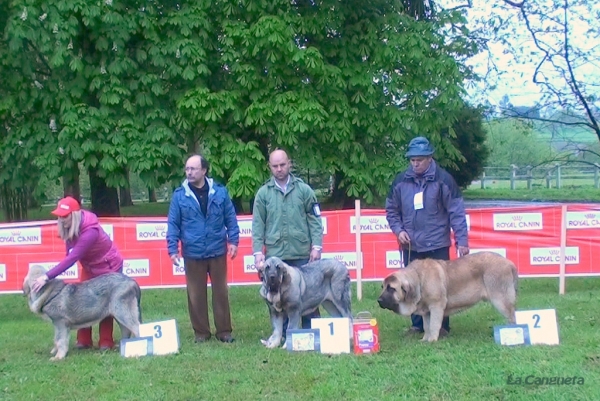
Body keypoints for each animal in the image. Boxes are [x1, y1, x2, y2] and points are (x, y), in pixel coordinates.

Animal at [378, 250, 516, 340]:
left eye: (391, 289)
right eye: (383, 287)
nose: (379, 300)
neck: (419, 279)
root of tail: (509, 263)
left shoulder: (436, 306)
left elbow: (433, 325)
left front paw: (432, 341)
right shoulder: (426, 311)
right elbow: (427, 326)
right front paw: (425, 340)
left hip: (501, 299)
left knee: (511, 316)